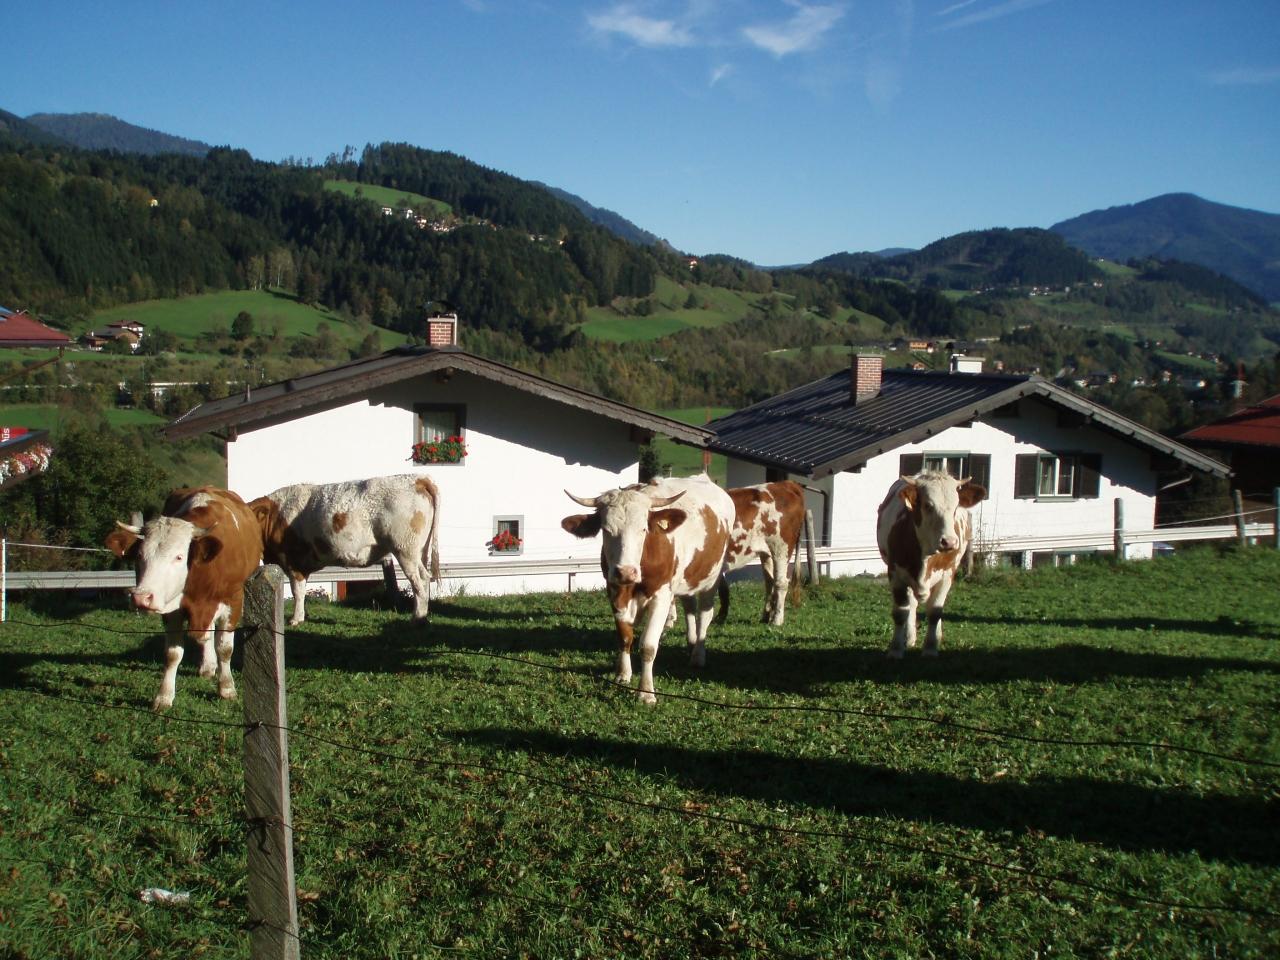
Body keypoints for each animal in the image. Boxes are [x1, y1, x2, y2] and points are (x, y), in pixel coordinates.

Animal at [104, 487, 263, 711]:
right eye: (139, 556)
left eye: (179, 557)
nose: (141, 598)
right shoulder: (171, 610)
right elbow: (172, 654)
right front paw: (164, 696)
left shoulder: (234, 601)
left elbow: (225, 649)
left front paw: (227, 688)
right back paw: (207, 666)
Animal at [248, 474, 440, 625]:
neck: (276, 516)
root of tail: (418, 479)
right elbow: (301, 591)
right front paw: (303, 616)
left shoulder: (293, 561)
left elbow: (297, 592)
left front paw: (296, 619)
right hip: (417, 551)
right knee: (424, 577)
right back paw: (423, 616)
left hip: (405, 549)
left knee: (417, 582)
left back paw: (417, 618)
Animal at [561, 474, 734, 704]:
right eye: (606, 530)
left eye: (643, 529)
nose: (626, 572)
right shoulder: (615, 593)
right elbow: (625, 638)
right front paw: (623, 675)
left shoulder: (661, 597)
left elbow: (648, 646)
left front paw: (646, 693)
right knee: (689, 607)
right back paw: (691, 643)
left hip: (711, 579)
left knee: (704, 615)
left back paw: (698, 655)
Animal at [718, 480, 806, 626]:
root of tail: (787, 483)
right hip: (767, 552)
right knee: (770, 581)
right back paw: (766, 616)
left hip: (781, 547)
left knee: (781, 582)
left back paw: (777, 620)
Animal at [876, 471, 986, 658]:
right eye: (928, 506)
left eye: (956, 507)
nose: (949, 542)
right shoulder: (896, 574)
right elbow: (900, 612)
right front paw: (896, 649)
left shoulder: (947, 575)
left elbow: (935, 611)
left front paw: (931, 647)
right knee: (912, 605)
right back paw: (909, 637)